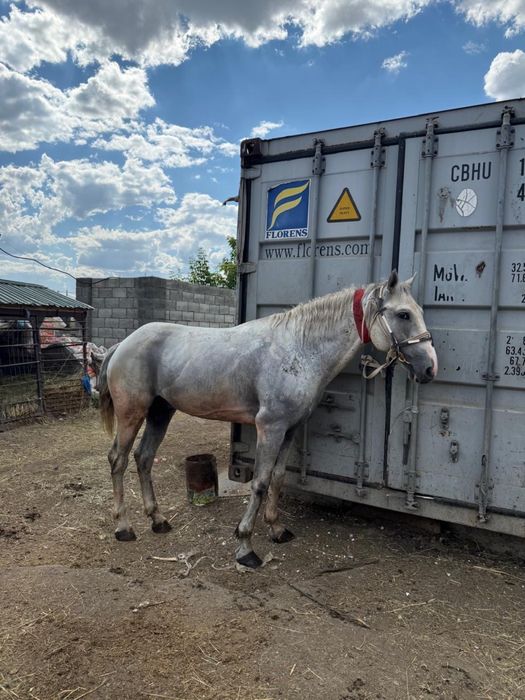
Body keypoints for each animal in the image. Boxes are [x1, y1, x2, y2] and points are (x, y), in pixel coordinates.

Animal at [98, 270, 437, 568]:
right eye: (404, 315)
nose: (430, 368)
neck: (299, 349)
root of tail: (122, 344)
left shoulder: (290, 429)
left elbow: (278, 476)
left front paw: (276, 529)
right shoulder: (270, 428)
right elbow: (260, 482)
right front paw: (245, 547)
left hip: (160, 413)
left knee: (143, 458)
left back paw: (158, 520)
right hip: (131, 414)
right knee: (119, 460)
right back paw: (124, 527)